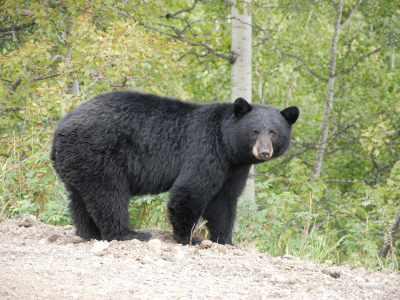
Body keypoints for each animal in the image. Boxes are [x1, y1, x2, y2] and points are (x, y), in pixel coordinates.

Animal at [50, 90, 298, 245]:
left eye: (274, 133)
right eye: (254, 131)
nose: (264, 152)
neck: (227, 145)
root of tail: (59, 130)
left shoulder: (234, 168)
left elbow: (224, 201)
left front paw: (225, 240)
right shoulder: (205, 150)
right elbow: (190, 190)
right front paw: (189, 238)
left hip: (77, 161)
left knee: (79, 199)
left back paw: (88, 233)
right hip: (99, 154)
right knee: (108, 195)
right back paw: (128, 234)